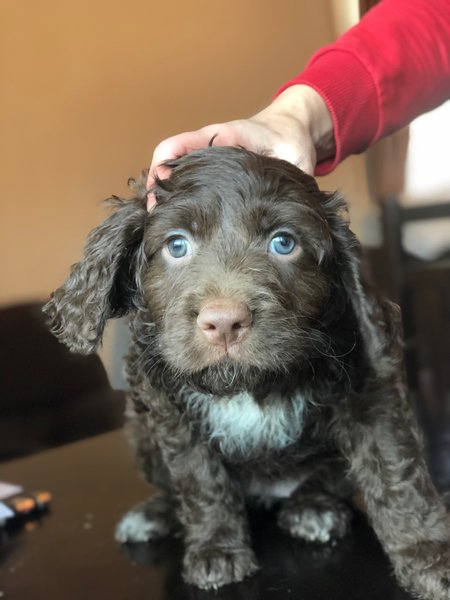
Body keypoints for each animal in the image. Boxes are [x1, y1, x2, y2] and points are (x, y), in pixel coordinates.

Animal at [44, 148, 448, 596]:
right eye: (176, 245)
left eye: (284, 242)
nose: (224, 323)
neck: (244, 385)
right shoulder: (169, 414)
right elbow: (199, 481)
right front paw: (215, 548)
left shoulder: (370, 391)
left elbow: (396, 475)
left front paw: (430, 555)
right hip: (140, 431)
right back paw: (154, 513)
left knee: (329, 479)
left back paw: (314, 505)